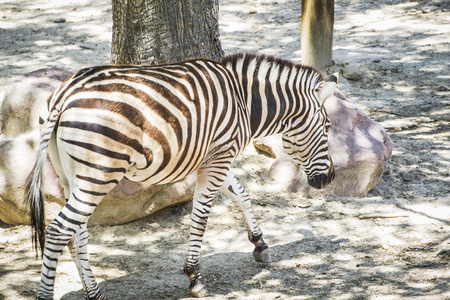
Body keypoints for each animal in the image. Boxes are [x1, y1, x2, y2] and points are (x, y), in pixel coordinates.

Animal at [23, 52, 334, 298]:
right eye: (328, 127)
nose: (329, 179)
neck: (244, 102)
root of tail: (65, 92)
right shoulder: (218, 159)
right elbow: (201, 217)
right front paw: (195, 277)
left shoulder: (216, 157)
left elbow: (242, 195)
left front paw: (260, 244)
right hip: (99, 173)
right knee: (59, 231)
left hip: (71, 177)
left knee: (76, 233)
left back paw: (95, 293)